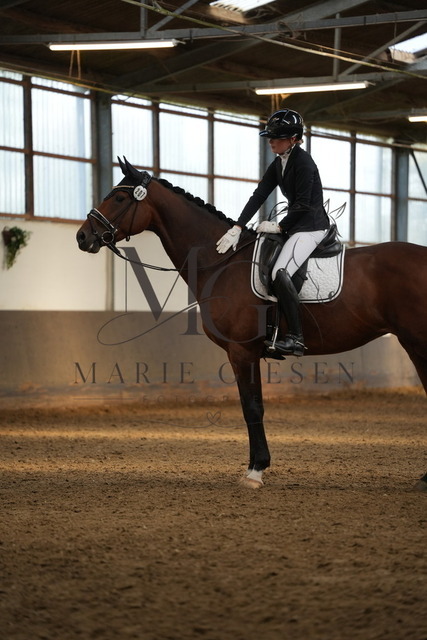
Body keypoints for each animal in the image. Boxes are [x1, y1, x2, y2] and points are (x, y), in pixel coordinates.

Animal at [76, 158, 427, 492]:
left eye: (119, 197)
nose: (82, 236)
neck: (222, 262)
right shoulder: (247, 353)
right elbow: (253, 407)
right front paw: (256, 466)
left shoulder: (241, 351)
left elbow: (252, 408)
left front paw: (255, 471)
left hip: (418, 342)